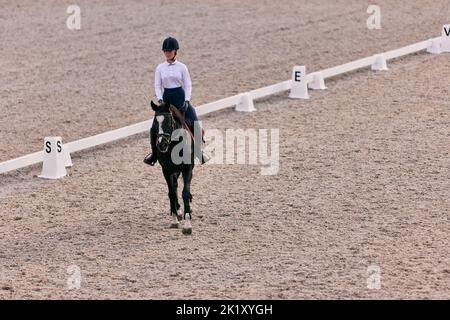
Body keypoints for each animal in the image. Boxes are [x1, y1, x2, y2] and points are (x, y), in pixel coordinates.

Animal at [150, 100, 194, 235]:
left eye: (169, 121)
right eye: (155, 122)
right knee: (174, 187)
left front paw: (187, 225)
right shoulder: (166, 171)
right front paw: (175, 221)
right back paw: (178, 212)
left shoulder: (187, 169)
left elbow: (185, 193)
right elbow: (171, 194)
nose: (162, 144)